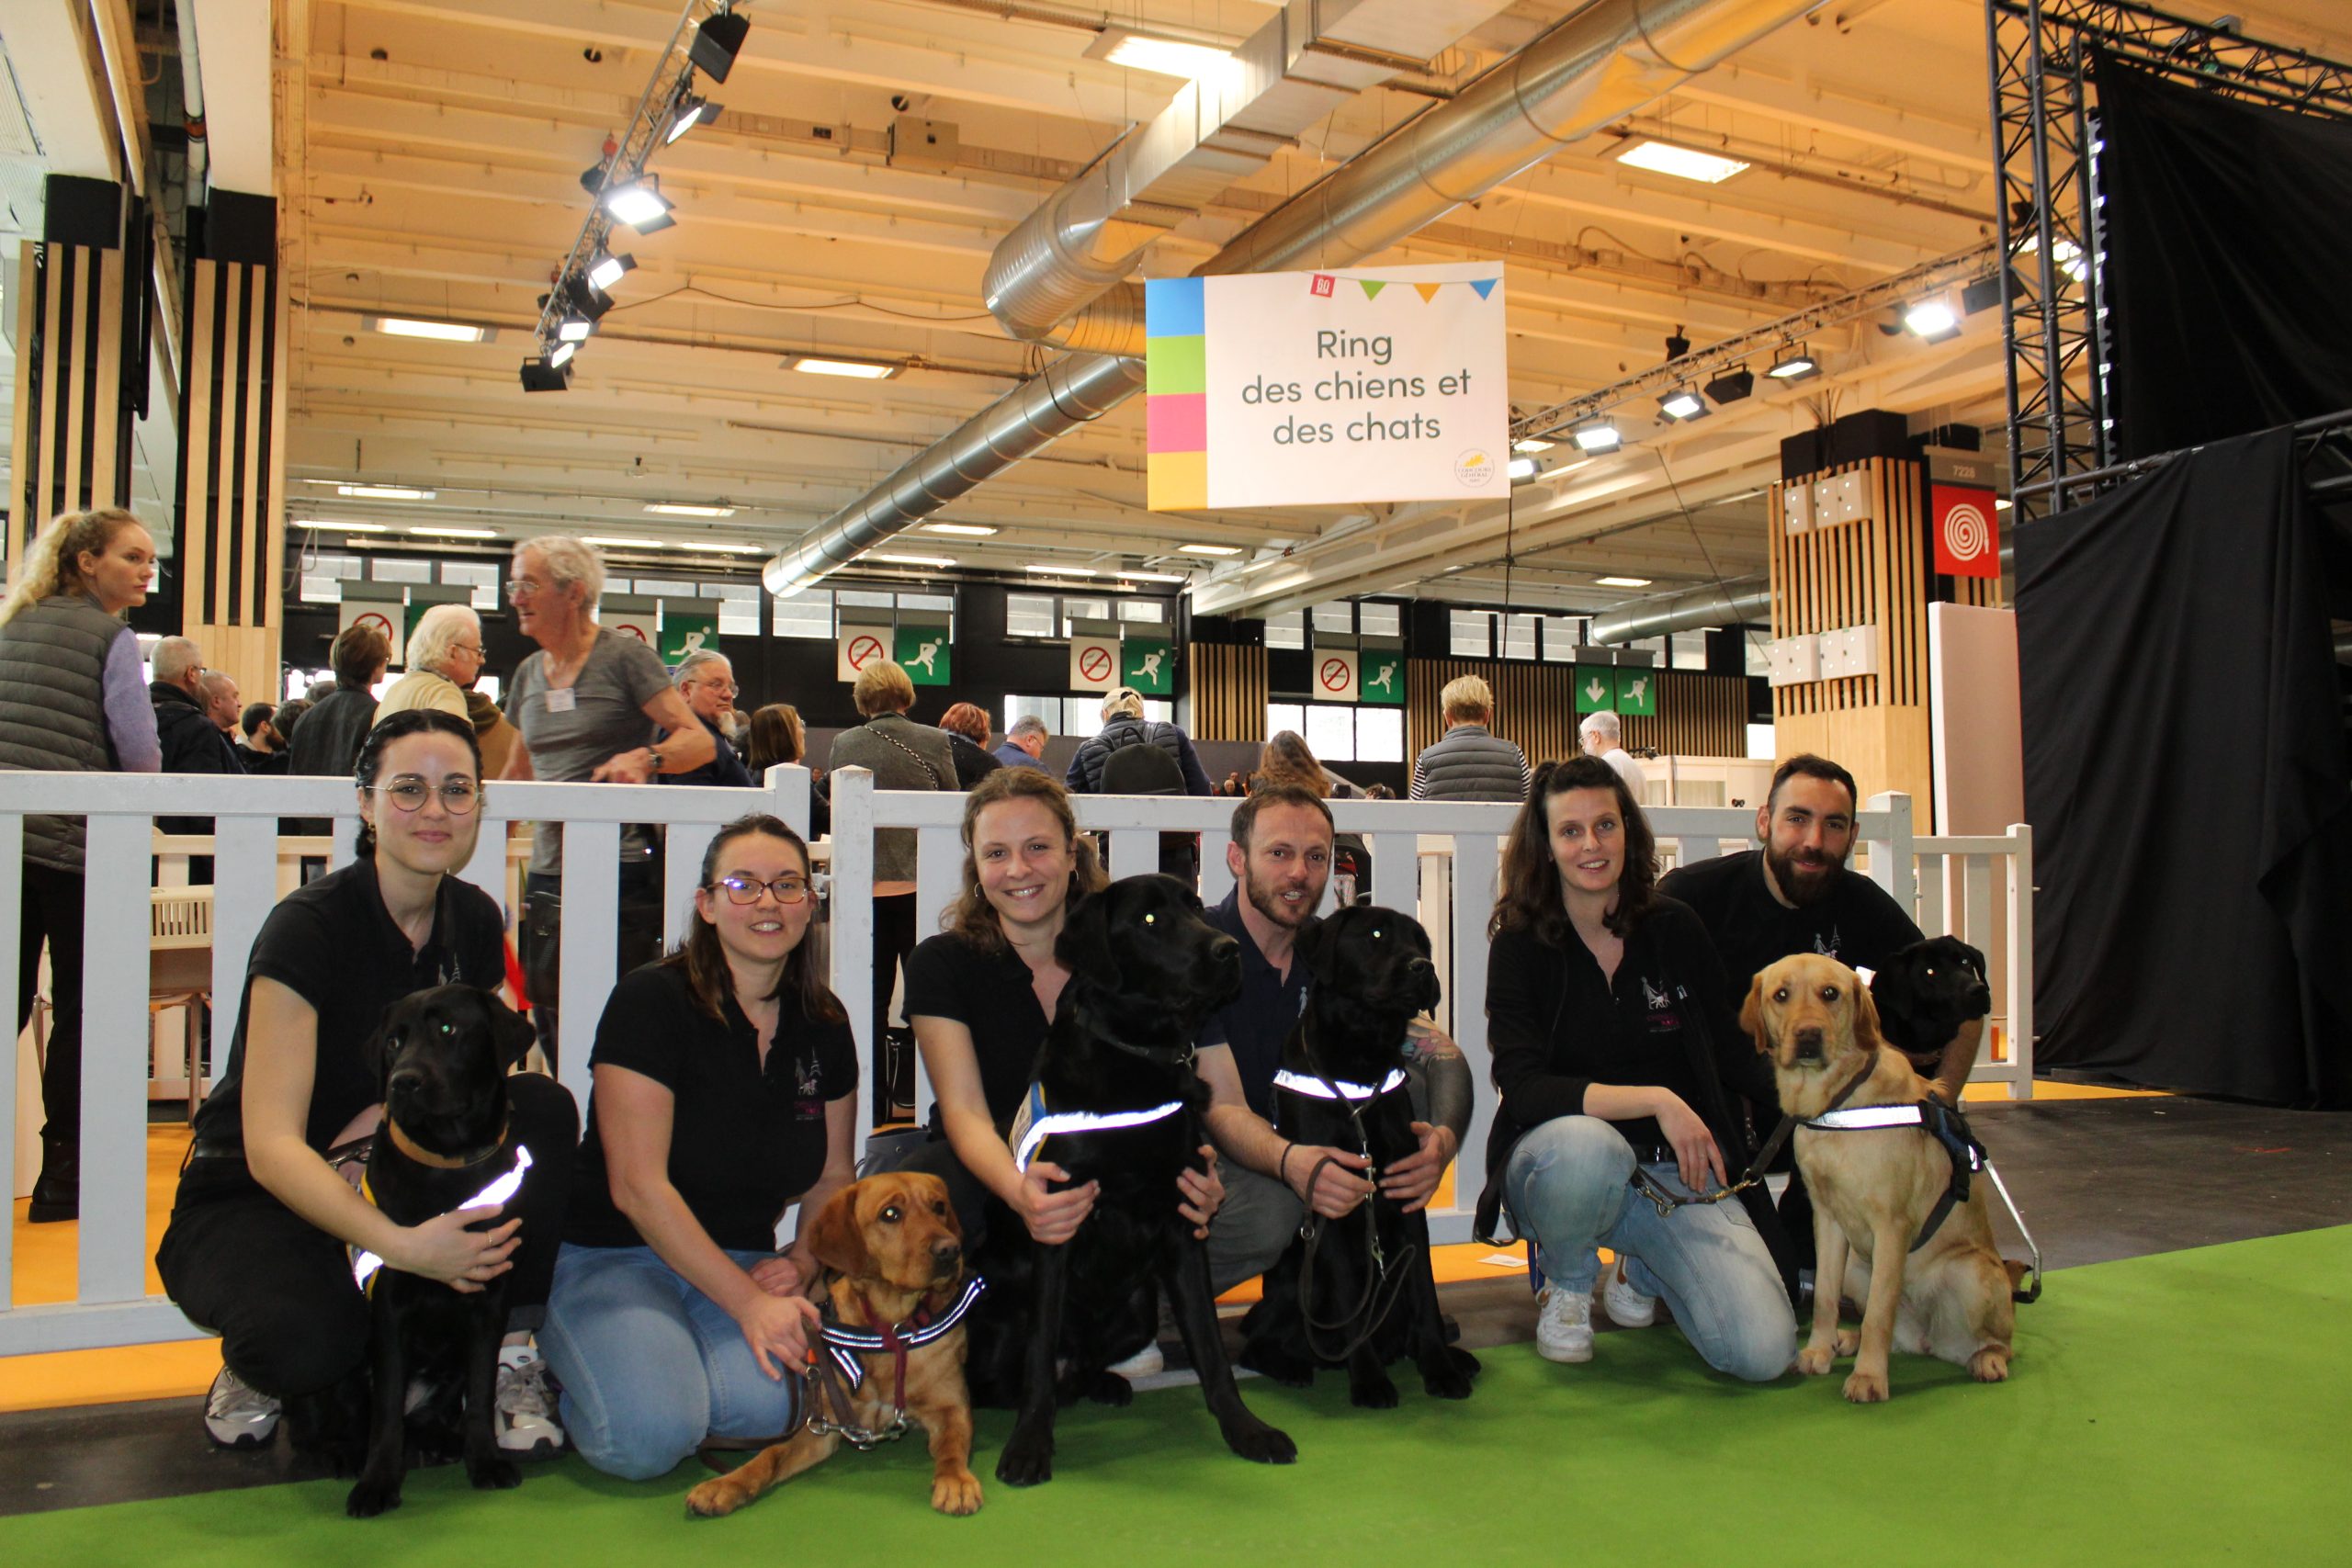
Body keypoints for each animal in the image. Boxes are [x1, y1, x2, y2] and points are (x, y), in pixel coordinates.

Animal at [345, 987, 538, 1514]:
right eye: (394, 1041)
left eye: (448, 1029)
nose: (402, 1082)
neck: (446, 1163)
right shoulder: (389, 1305)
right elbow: (387, 1408)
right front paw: (377, 1482)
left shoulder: (490, 1301)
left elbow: (482, 1386)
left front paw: (485, 1461)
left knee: (433, 1411)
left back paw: (444, 1441)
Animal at [973, 879, 1307, 1495]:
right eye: (1150, 920)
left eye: (1195, 908)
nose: (1228, 950)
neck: (1136, 1054)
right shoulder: (1058, 1219)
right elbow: (1038, 1358)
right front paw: (1029, 1445)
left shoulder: (1183, 1222)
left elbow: (1211, 1349)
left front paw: (1246, 1430)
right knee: (1021, 1373)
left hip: (1139, 1308)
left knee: (1082, 1365)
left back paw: (1106, 1383)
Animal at [1241, 907, 1476, 1410]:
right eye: (1375, 934)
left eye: (1422, 941)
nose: (1423, 967)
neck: (1362, 1055)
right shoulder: (1333, 1200)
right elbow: (1352, 1303)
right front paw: (1368, 1381)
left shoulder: (1407, 1200)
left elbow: (1425, 1293)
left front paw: (1440, 1369)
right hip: (1297, 1285)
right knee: (1257, 1342)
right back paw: (1293, 1366)